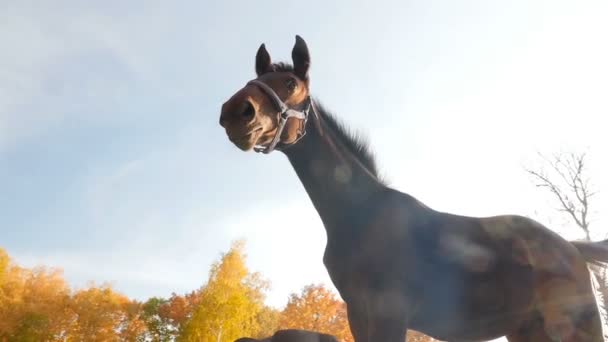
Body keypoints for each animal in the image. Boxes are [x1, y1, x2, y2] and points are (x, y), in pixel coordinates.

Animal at [218, 35, 608, 342]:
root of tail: (571, 248)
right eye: (256, 78)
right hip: (527, 330)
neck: (360, 215)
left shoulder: (389, 314)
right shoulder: (359, 316)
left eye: (289, 84)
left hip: (578, 327)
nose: (236, 112)